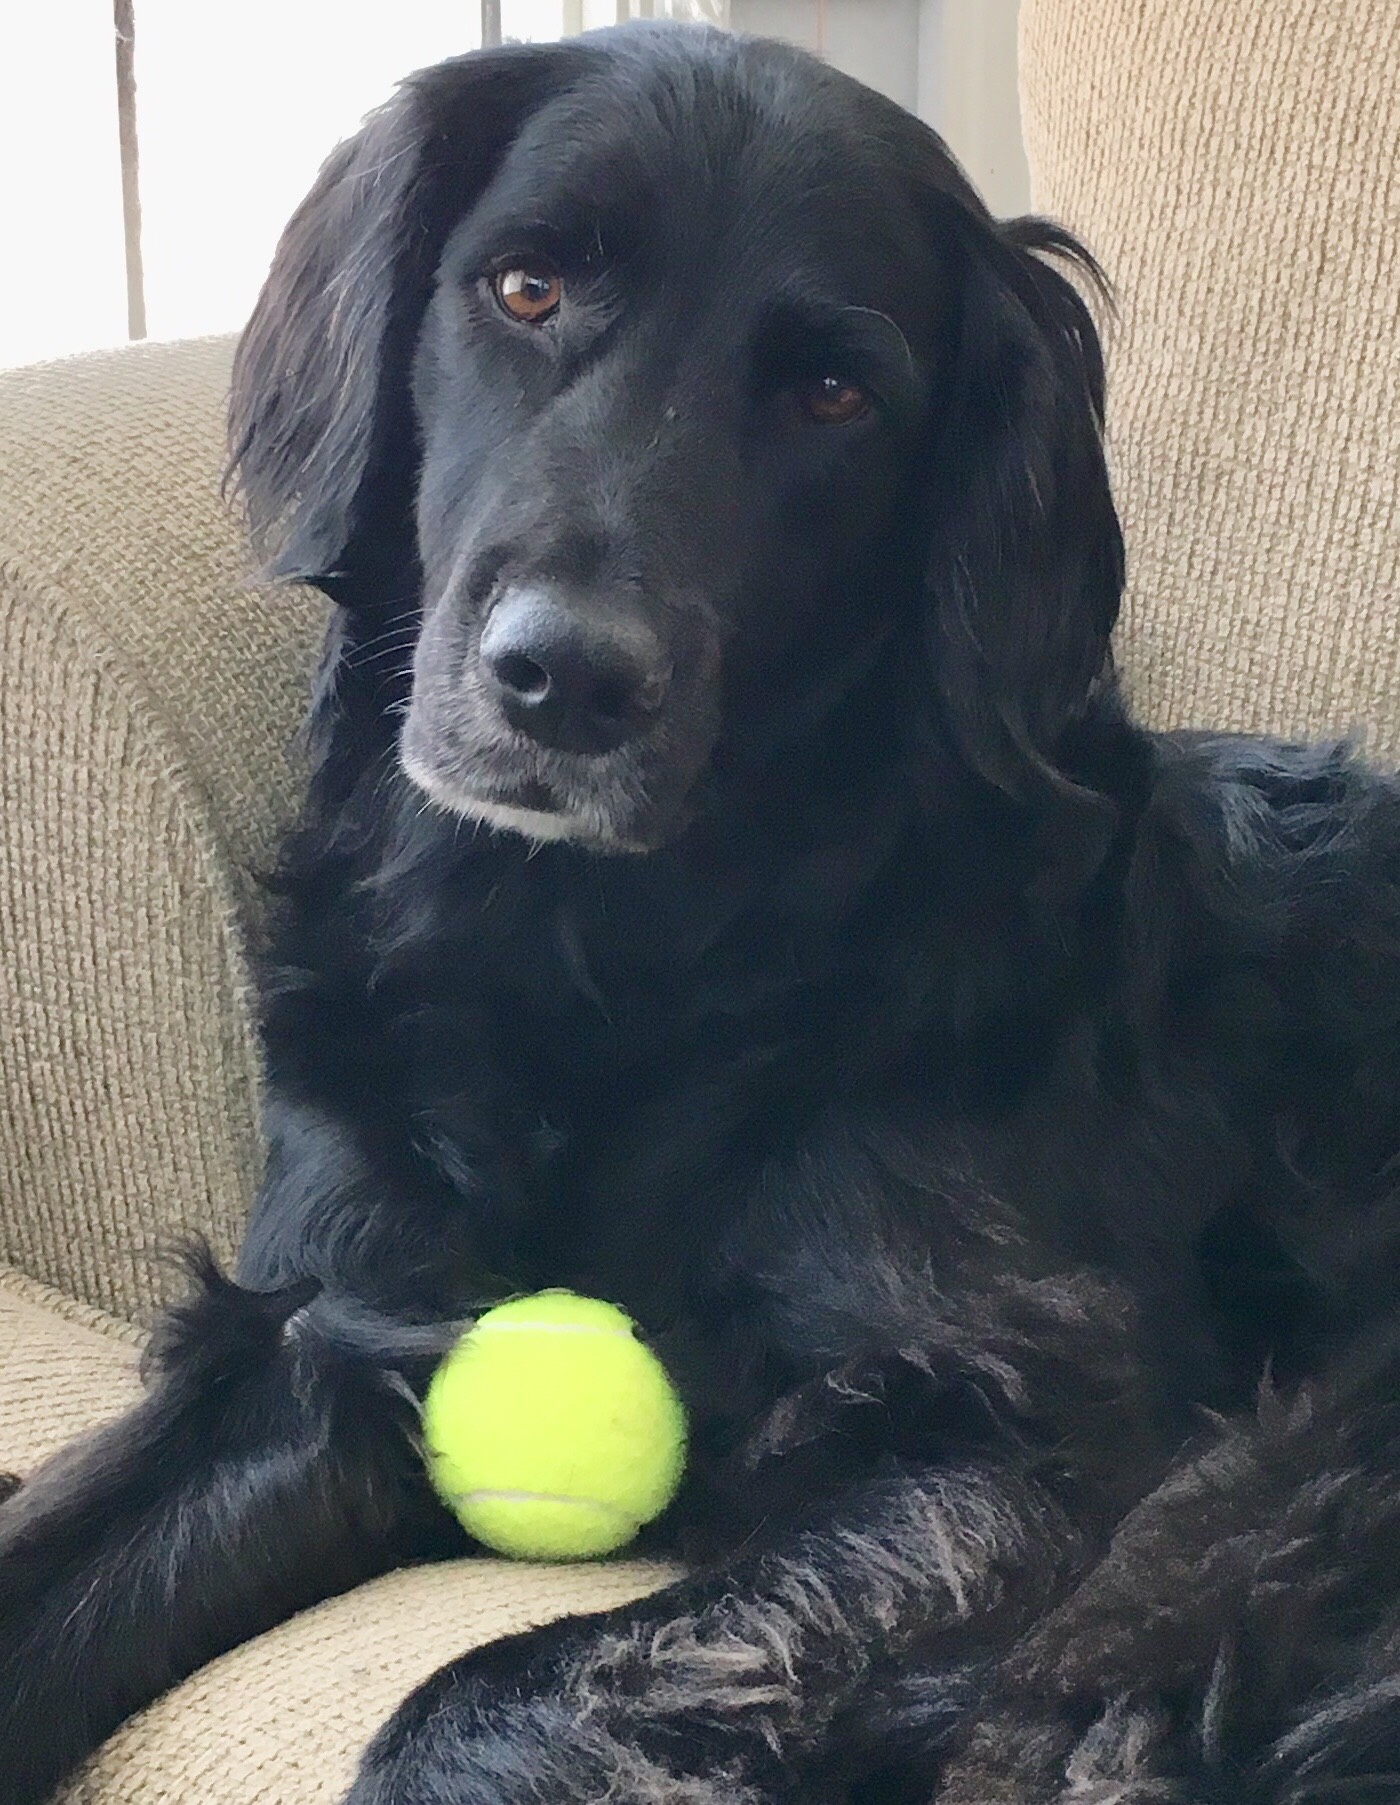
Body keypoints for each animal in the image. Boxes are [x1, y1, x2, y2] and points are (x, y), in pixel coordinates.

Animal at [5, 20, 1400, 1804]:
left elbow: (477, 1699)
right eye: (525, 286)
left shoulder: (1028, 1446)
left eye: (835, 391)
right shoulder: (336, 1324)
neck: (609, 962)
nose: (565, 678)